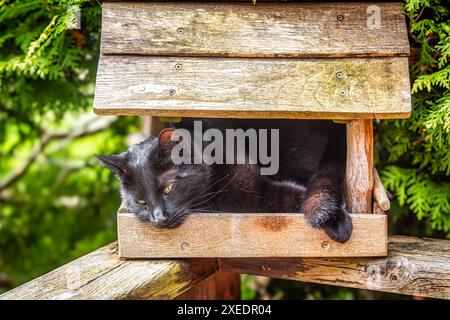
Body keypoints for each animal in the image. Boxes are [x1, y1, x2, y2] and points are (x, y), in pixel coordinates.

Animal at [97, 119, 352, 242]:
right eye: (140, 202)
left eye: (168, 188)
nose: (159, 218)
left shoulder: (261, 190)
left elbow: (297, 197)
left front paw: (336, 218)